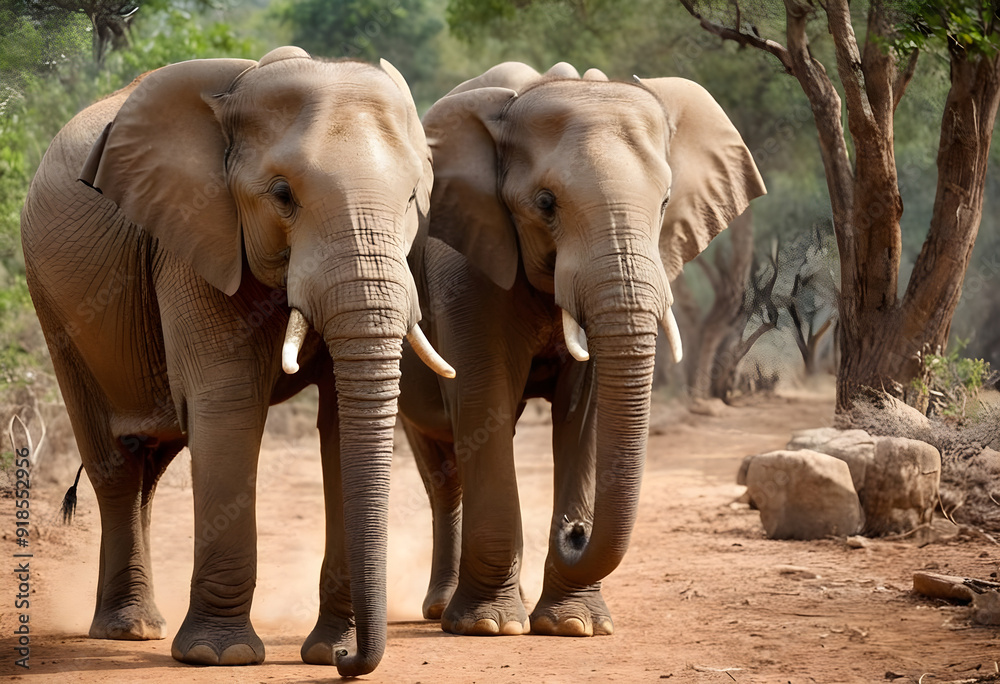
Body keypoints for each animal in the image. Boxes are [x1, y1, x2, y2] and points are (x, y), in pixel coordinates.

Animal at [20, 46, 453, 676]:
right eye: (282, 195)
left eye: (413, 200)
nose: (350, 662)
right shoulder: (192, 234)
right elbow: (229, 402)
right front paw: (216, 655)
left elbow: (337, 424)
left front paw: (325, 650)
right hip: (54, 307)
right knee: (116, 464)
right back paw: (128, 630)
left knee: (151, 465)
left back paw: (141, 625)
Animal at [398, 62, 765, 637]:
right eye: (546, 204)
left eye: (665, 202)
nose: (574, 531)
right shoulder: (466, 267)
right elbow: (485, 399)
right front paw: (492, 628)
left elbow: (585, 412)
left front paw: (574, 626)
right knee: (443, 468)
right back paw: (443, 612)